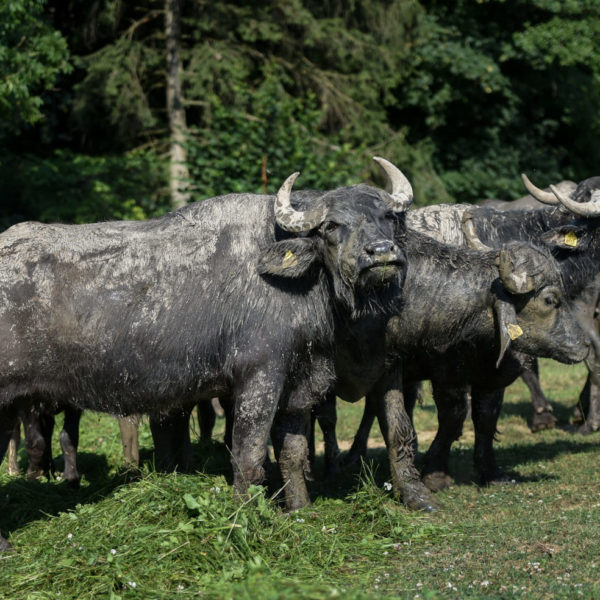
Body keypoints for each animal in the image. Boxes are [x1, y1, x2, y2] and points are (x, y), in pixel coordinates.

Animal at [0, 157, 412, 552]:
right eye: (331, 225)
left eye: (388, 218)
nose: (380, 252)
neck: (298, 284)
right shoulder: (259, 378)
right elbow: (248, 456)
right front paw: (245, 517)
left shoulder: (298, 384)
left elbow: (293, 454)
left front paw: (301, 511)